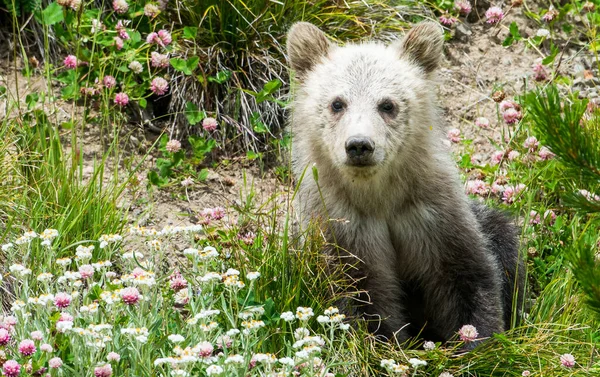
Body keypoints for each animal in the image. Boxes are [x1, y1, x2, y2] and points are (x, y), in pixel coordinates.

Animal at [288, 20, 524, 344]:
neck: (380, 198)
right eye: (337, 103)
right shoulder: (343, 228)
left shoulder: (432, 216)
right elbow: (361, 295)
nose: (359, 145)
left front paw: (476, 339)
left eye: (387, 104)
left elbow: (467, 277)